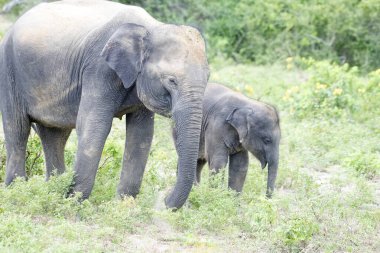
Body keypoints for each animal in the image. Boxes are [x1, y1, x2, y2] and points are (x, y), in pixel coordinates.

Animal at [0, 0, 208, 210]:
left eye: (207, 78)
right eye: (172, 81)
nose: (163, 199)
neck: (151, 27)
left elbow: (141, 135)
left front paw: (123, 205)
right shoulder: (99, 69)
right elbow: (94, 125)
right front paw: (75, 204)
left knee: (54, 135)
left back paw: (53, 190)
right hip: (8, 70)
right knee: (17, 129)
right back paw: (17, 190)